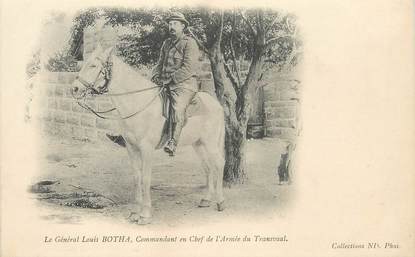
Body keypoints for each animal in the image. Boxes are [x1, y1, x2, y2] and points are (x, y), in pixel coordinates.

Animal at [72, 45, 228, 223]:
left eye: (93, 66)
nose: (74, 88)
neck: (138, 102)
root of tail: (217, 105)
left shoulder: (146, 149)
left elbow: (146, 178)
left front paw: (145, 214)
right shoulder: (131, 148)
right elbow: (137, 177)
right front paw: (134, 212)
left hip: (210, 144)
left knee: (219, 164)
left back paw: (220, 201)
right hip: (198, 144)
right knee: (208, 167)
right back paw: (206, 199)